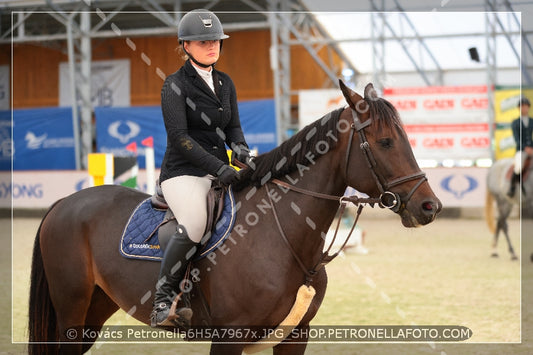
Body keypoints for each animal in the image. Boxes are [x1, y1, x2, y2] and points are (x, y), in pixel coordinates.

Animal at [28, 81, 440, 355]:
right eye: (385, 142)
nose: (429, 207)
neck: (286, 238)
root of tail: (65, 202)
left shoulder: (294, 337)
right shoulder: (230, 337)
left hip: (93, 312)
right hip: (71, 310)